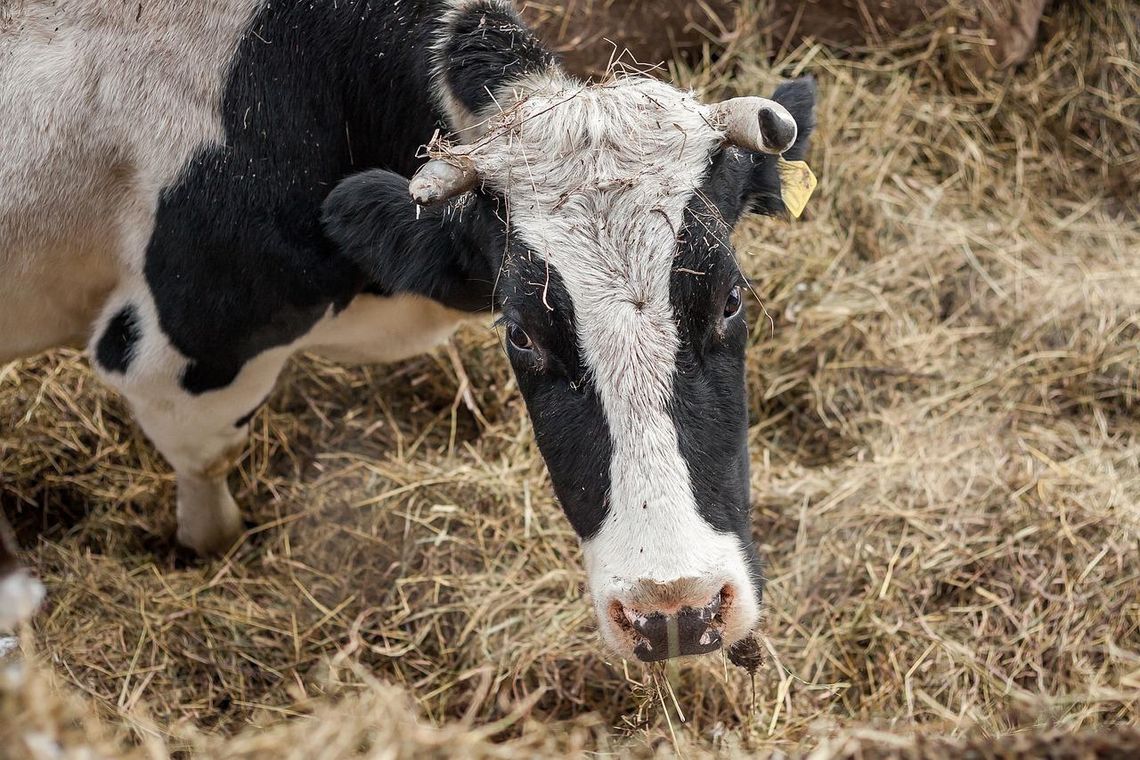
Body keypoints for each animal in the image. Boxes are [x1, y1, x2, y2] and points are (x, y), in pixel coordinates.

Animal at [2, 0, 820, 660]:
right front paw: (212, 549)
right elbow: (209, 466)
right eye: (520, 333)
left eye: (731, 301)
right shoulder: (176, 353)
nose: (673, 613)